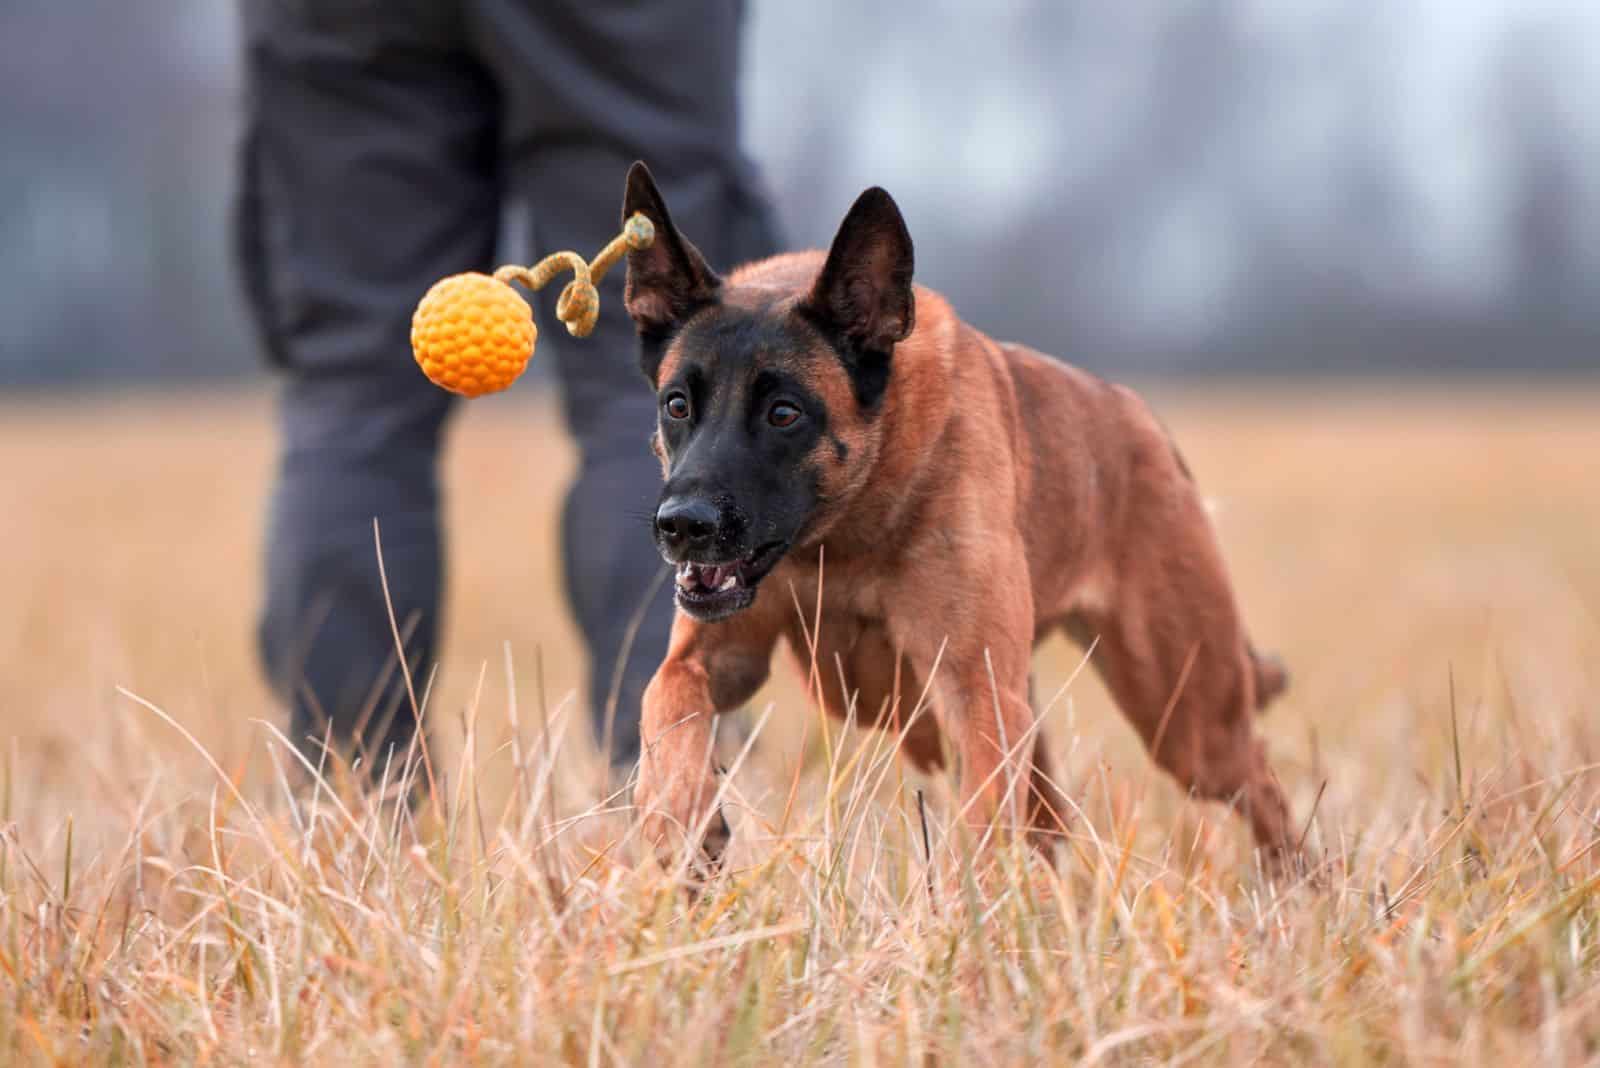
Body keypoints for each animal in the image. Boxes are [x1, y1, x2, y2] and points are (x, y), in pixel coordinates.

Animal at [617, 163, 1292, 869]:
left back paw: (1295, 881)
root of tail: (1146, 424)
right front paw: (680, 817)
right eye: (677, 404)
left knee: (1261, 786)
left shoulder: (975, 692)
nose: (681, 525)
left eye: (784, 413)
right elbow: (664, 703)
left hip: (1187, 720)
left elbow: (985, 822)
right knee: (1053, 817)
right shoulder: (710, 655)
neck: (843, 535)